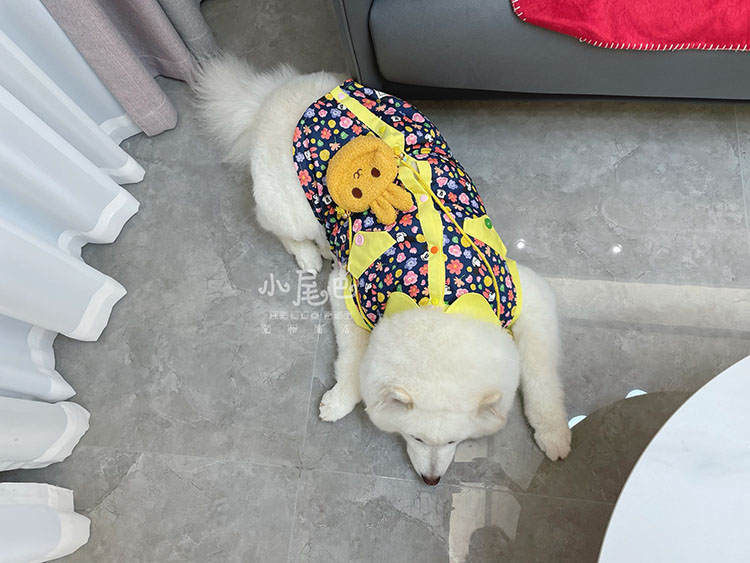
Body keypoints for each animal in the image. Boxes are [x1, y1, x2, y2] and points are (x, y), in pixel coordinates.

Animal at [194, 55, 571, 485]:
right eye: (416, 438)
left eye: (456, 441)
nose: (431, 481)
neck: (441, 302)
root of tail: (270, 94)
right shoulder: (348, 292)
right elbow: (352, 360)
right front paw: (340, 400)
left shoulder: (529, 298)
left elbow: (542, 378)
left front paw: (555, 433)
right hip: (289, 210)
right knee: (275, 226)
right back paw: (309, 255)